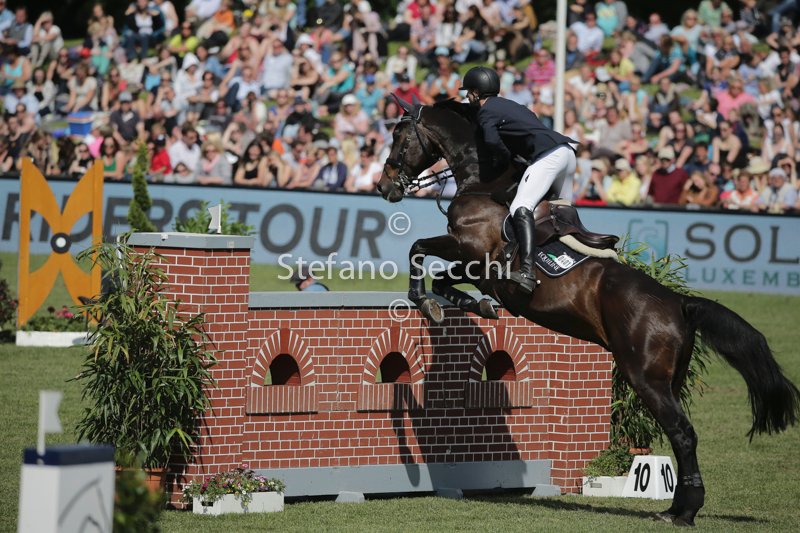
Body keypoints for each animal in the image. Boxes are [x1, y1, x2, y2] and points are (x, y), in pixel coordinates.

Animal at [376, 98, 800, 526]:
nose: (384, 186)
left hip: (645, 378)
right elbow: (444, 280)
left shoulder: (472, 252)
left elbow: (418, 249)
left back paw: (683, 511)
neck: (483, 182)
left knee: (683, 433)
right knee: (680, 434)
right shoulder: (478, 269)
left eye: (400, 137)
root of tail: (679, 303)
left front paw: (424, 300)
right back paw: (677, 506)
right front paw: (469, 305)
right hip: (670, 379)